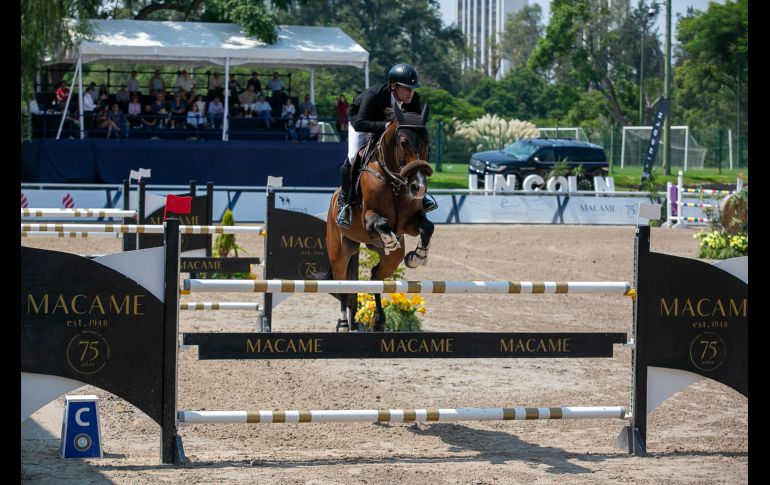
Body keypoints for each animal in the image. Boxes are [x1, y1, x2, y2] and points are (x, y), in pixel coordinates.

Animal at [322, 104, 432, 330]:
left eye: (428, 143)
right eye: (403, 142)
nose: (418, 187)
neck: (394, 181)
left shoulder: (409, 223)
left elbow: (428, 227)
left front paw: (417, 256)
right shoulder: (369, 220)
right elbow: (381, 224)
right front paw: (389, 240)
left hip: (391, 262)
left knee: (376, 275)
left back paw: (378, 320)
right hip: (339, 251)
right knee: (342, 284)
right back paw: (343, 324)